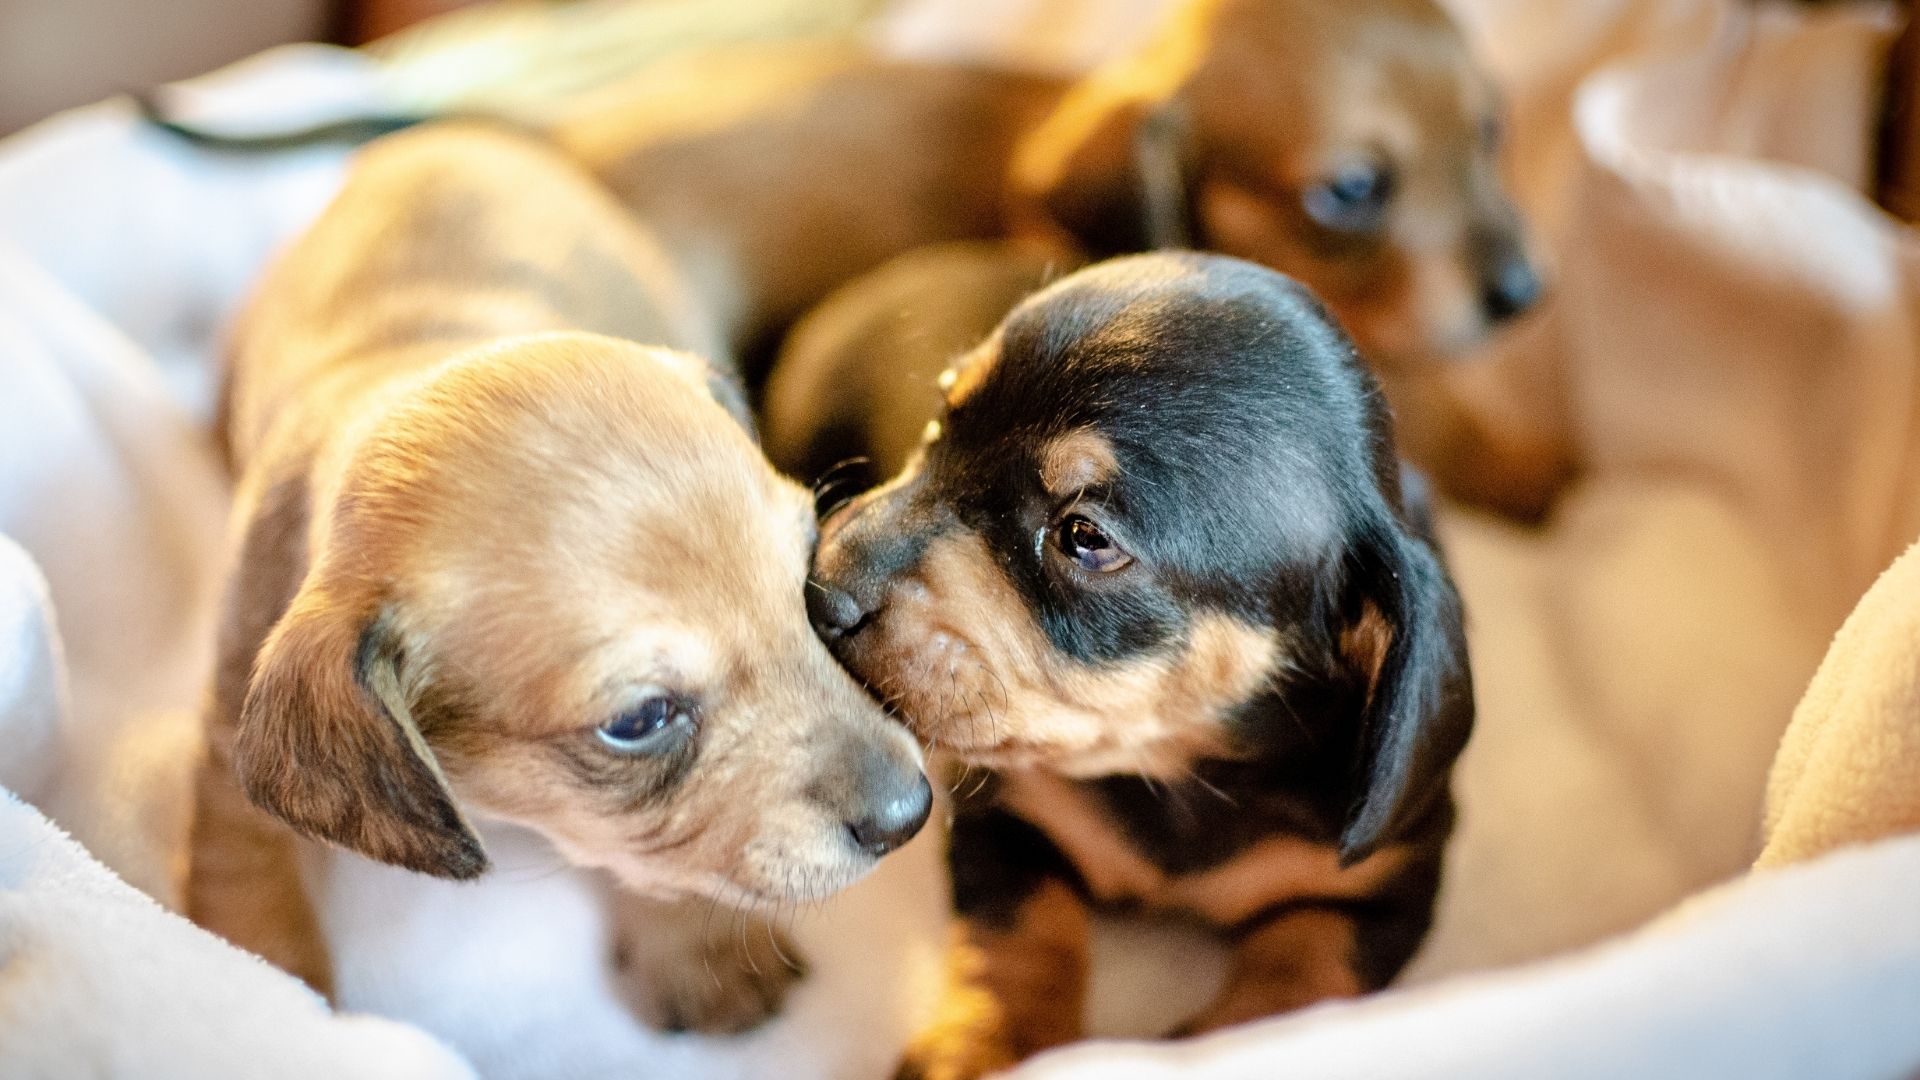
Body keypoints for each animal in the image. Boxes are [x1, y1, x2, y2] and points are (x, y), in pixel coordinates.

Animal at [187, 122, 929, 1030]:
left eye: (807, 583)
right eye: (639, 720)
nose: (911, 814)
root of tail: (453, 132)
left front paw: (696, 948)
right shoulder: (225, 756)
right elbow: (247, 892)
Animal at [802, 249, 1474, 1068]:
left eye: (1084, 537)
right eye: (938, 422)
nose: (819, 588)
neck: (1179, 769)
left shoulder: (1384, 888)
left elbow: (1305, 974)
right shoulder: (1009, 818)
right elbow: (1019, 939)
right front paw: (984, 1047)